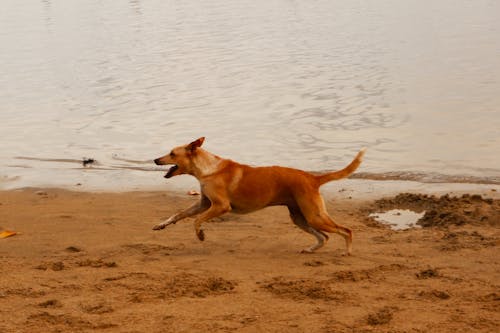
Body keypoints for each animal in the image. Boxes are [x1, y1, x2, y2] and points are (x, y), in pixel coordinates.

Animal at [150, 136, 366, 253]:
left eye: (172, 153)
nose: (155, 160)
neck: (208, 168)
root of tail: (313, 178)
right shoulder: (204, 204)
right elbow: (179, 214)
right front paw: (161, 225)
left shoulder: (220, 206)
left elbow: (197, 220)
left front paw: (201, 235)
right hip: (300, 217)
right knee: (324, 237)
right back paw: (310, 249)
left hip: (314, 216)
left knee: (346, 230)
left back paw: (347, 251)